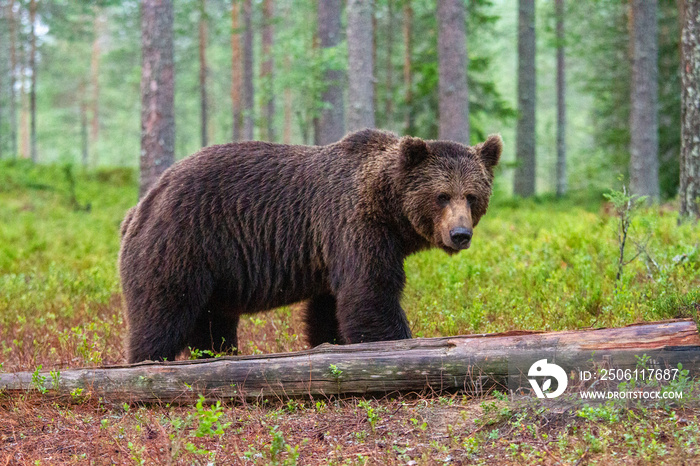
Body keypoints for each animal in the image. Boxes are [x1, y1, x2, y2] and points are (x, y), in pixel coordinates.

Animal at [121, 129, 504, 362]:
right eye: (442, 196)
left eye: (472, 195)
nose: (460, 234)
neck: (388, 209)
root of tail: (142, 204)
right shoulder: (354, 226)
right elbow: (371, 294)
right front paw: (399, 342)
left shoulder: (332, 248)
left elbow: (330, 307)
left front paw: (331, 343)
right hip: (183, 243)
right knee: (163, 312)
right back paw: (146, 362)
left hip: (215, 273)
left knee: (212, 322)